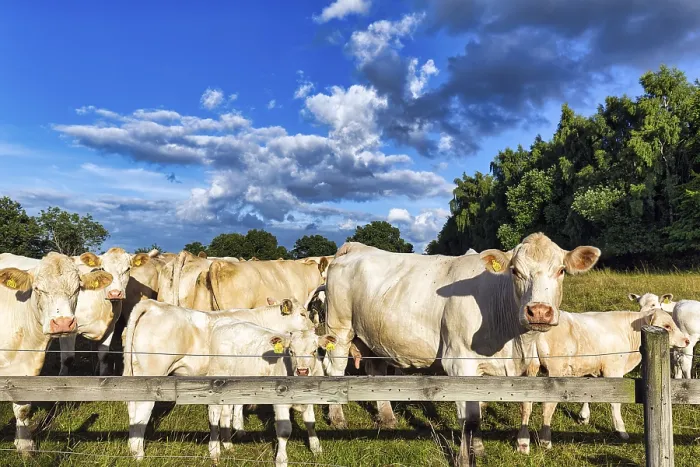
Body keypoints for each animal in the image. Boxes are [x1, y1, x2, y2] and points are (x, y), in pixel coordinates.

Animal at [0, 253, 112, 454]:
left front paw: (25, 445)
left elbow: (23, 409)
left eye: (77, 289)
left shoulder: (26, 371)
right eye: (37, 288)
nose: (62, 323)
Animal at [123, 297, 314, 460]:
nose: (314, 328)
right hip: (154, 374)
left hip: (135, 373)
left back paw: (132, 447)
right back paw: (139, 453)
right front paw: (236, 433)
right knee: (143, 409)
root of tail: (153, 304)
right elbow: (234, 407)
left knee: (132, 407)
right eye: (302, 314)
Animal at [207, 325, 334, 466]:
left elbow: (310, 423)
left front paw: (316, 449)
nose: (302, 371)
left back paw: (228, 445)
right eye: (291, 351)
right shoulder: (280, 403)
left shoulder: (310, 398)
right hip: (217, 381)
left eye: (314, 351)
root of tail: (222, 326)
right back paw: (214, 451)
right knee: (214, 415)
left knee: (225, 414)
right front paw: (281, 460)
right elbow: (284, 431)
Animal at [322, 232, 601, 464]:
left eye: (561, 270)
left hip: (374, 336)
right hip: (339, 329)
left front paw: (479, 450)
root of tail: (355, 247)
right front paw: (465, 458)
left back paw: (388, 418)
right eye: (515, 271)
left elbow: (483, 410)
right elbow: (469, 417)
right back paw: (338, 419)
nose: (539, 311)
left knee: (376, 370)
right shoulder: (458, 361)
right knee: (334, 369)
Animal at [529, 307, 689, 450]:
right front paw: (621, 431)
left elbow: (589, 394)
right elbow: (615, 403)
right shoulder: (613, 371)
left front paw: (583, 417)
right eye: (667, 326)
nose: (686, 340)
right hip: (554, 373)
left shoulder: (593, 369)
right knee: (547, 405)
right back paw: (545, 442)